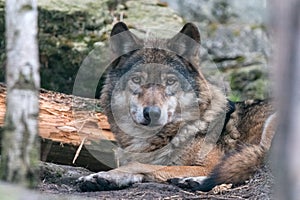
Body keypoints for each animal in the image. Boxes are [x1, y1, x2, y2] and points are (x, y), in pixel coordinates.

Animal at [78, 21, 276, 192]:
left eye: (170, 81)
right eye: (136, 79)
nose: (152, 113)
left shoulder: (210, 164)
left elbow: (138, 164)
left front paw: (105, 175)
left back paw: (194, 180)